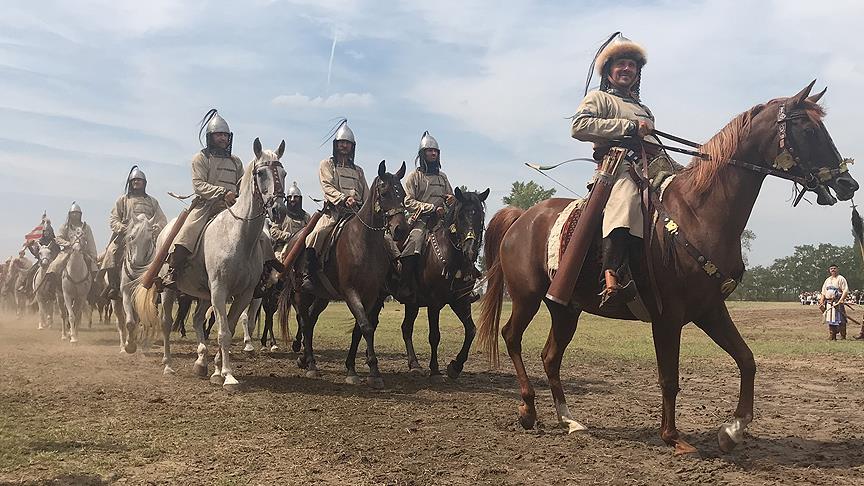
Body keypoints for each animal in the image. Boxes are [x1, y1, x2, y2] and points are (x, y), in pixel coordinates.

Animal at [133, 139, 286, 390]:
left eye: (283, 173)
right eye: (261, 173)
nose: (279, 210)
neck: (238, 236)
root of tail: (164, 233)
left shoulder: (243, 295)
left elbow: (229, 328)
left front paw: (217, 370)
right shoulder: (219, 290)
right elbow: (223, 332)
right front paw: (229, 376)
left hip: (203, 294)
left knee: (196, 320)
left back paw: (201, 363)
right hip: (169, 290)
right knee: (166, 323)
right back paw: (168, 365)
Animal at [286, 161, 408, 390]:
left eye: (403, 194)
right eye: (385, 192)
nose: (400, 230)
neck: (363, 242)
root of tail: (293, 240)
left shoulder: (370, 296)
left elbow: (359, 329)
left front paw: (352, 368)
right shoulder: (351, 292)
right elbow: (366, 327)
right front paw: (373, 371)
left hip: (322, 296)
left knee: (312, 320)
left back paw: (305, 359)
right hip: (300, 293)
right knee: (305, 322)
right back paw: (311, 364)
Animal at [396, 186, 486, 380]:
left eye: (480, 216)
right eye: (460, 216)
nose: (470, 251)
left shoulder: (461, 301)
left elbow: (471, 330)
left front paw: (456, 366)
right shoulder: (434, 303)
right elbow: (435, 335)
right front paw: (435, 369)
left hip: (412, 304)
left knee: (406, 328)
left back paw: (414, 364)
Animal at [476, 80, 860, 456]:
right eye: (808, 128)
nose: (848, 184)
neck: (698, 213)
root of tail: (521, 218)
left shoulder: (710, 310)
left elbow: (747, 360)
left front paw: (732, 430)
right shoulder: (667, 317)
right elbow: (669, 378)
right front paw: (672, 436)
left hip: (565, 308)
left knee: (551, 357)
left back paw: (569, 420)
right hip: (526, 297)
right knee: (511, 337)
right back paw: (528, 409)